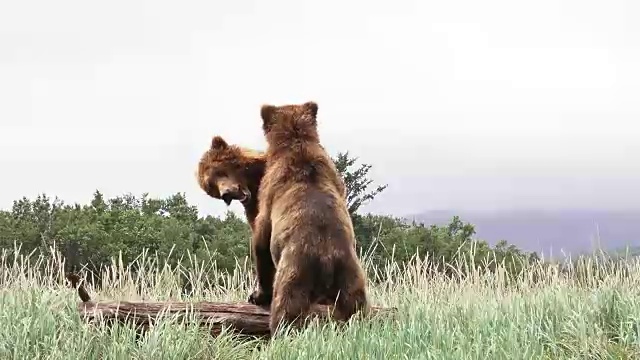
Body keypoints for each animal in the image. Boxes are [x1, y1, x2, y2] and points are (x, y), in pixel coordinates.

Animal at [250, 100, 370, 334]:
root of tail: (327, 258)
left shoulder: (268, 191)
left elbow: (261, 240)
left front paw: (257, 295)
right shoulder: (335, 177)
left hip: (294, 272)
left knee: (286, 311)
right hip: (351, 276)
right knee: (357, 308)